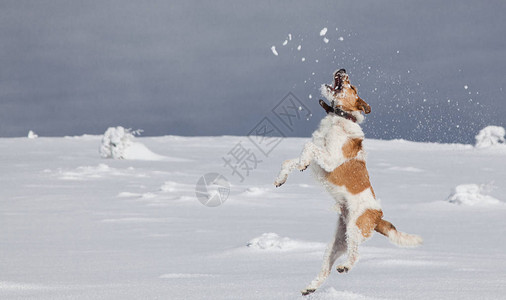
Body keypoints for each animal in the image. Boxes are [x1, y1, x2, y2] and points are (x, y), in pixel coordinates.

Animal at [274, 68, 422, 296]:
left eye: (352, 86)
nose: (342, 70)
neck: (339, 117)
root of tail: (378, 216)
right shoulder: (318, 158)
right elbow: (290, 161)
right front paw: (284, 176)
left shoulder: (330, 159)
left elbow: (308, 148)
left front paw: (303, 163)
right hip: (336, 244)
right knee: (326, 270)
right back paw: (310, 288)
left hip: (354, 229)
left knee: (355, 254)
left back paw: (345, 266)